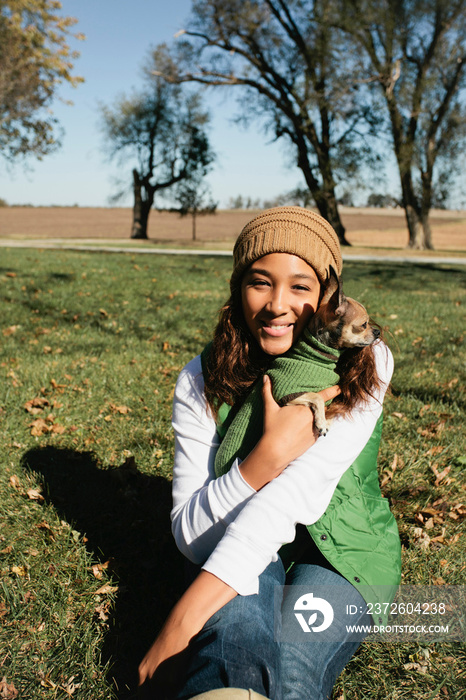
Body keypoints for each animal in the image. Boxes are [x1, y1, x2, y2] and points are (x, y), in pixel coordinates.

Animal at [286, 266, 380, 434]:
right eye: (364, 324)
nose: (378, 332)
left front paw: (326, 420)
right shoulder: (287, 394)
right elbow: (317, 397)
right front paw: (322, 422)